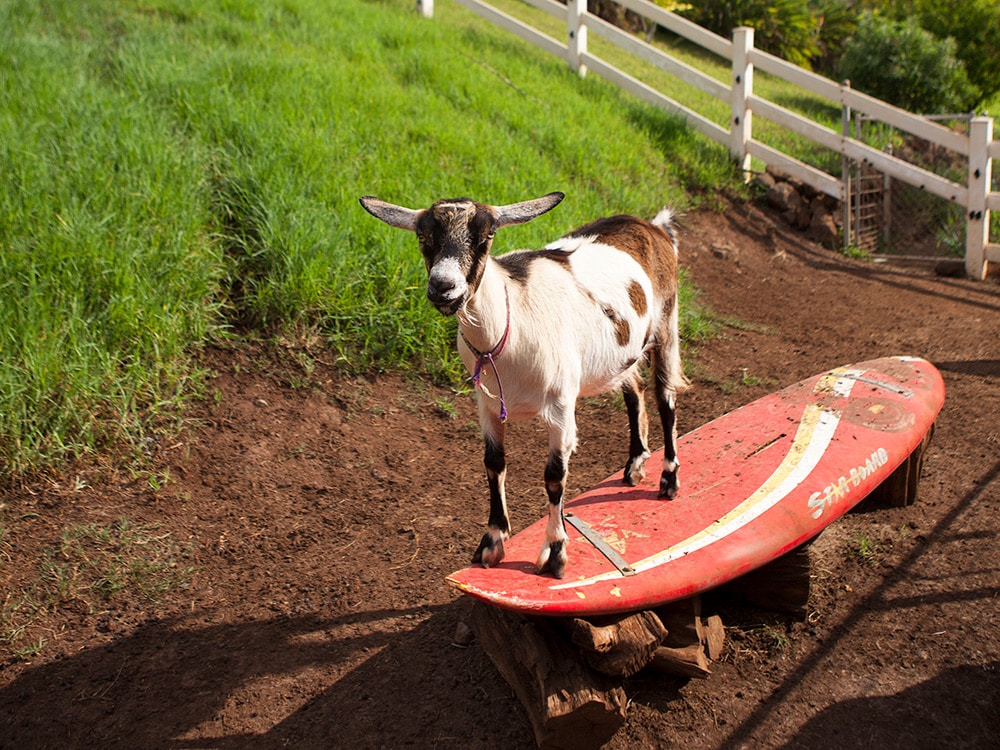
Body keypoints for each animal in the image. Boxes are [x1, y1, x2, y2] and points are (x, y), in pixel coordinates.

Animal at [362, 194, 688, 580]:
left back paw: (668, 479)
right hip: (621, 355)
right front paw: (491, 542)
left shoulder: (561, 408)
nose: (443, 286)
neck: (511, 321)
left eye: (486, 235)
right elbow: (493, 464)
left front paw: (556, 554)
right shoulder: (487, 405)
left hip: (667, 325)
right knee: (634, 390)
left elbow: (554, 477)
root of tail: (653, 227)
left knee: (665, 399)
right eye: (423, 236)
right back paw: (635, 464)